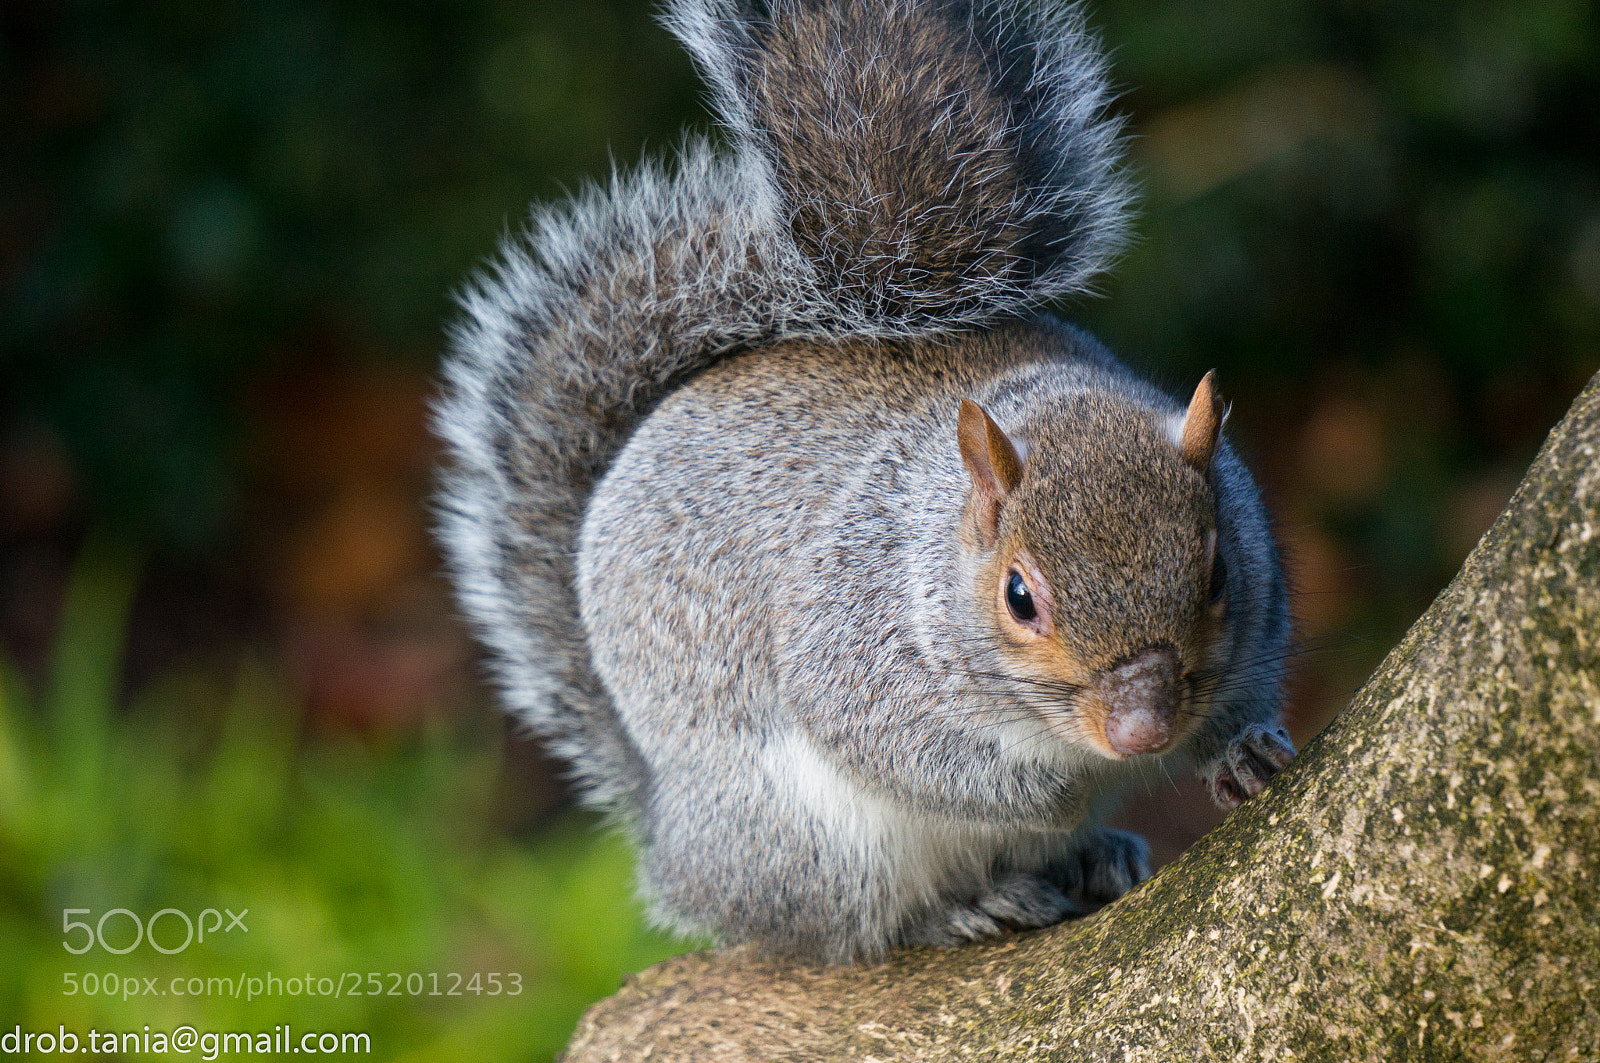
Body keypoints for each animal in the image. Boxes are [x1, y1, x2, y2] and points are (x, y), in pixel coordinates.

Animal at [432, 0, 1292, 960]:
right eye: (1020, 597)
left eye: (1217, 575)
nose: (1142, 731)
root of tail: (673, 834)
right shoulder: (853, 645)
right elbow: (900, 748)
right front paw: (1051, 792)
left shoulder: (1256, 603)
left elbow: (1246, 683)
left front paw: (1241, 748)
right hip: (809, 844)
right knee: (856, 927)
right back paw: (966, 904)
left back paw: (1088, 854)